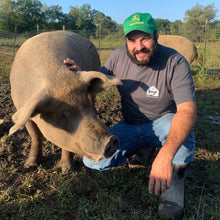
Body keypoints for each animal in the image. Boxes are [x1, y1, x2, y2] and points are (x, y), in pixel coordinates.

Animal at [9, 30, 121, 173]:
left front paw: (67, 170)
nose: (111, 140)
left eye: (85, 103)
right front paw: (29, 164)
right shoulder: (22, 111)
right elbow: (35, 135)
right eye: (60, 115)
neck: (57, 77)